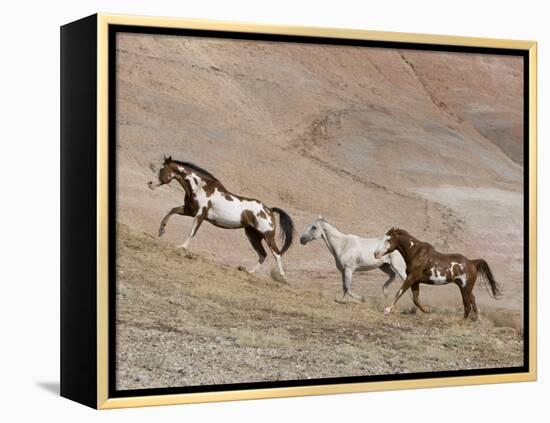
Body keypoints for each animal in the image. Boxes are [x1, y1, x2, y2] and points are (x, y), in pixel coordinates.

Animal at [146, 156, 294, 282]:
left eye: (162, 170)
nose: (150, 183)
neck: (199, 187)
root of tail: (269, 210)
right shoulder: (190, 211)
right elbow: (171, 211)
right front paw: (161, 231)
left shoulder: (199, 215)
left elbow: (192, 232)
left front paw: (182, 247)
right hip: (252, 235)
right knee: (263, 254)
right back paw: (250, 272)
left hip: (267, 236)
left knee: (277, 254)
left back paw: (283, 278)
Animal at [376, 227, 504, 320]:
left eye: (388, 239)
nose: (375, 253)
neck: (416, 253)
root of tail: (472, 262)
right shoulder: (415, 281)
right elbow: (415, 299)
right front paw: (427, 310)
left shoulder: (411, 278)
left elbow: (400, 292)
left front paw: (387, 310)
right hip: (465, 287)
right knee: (472, 299)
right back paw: (476, 318)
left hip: (465, 288)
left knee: (467, 305)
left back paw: (463, 322)